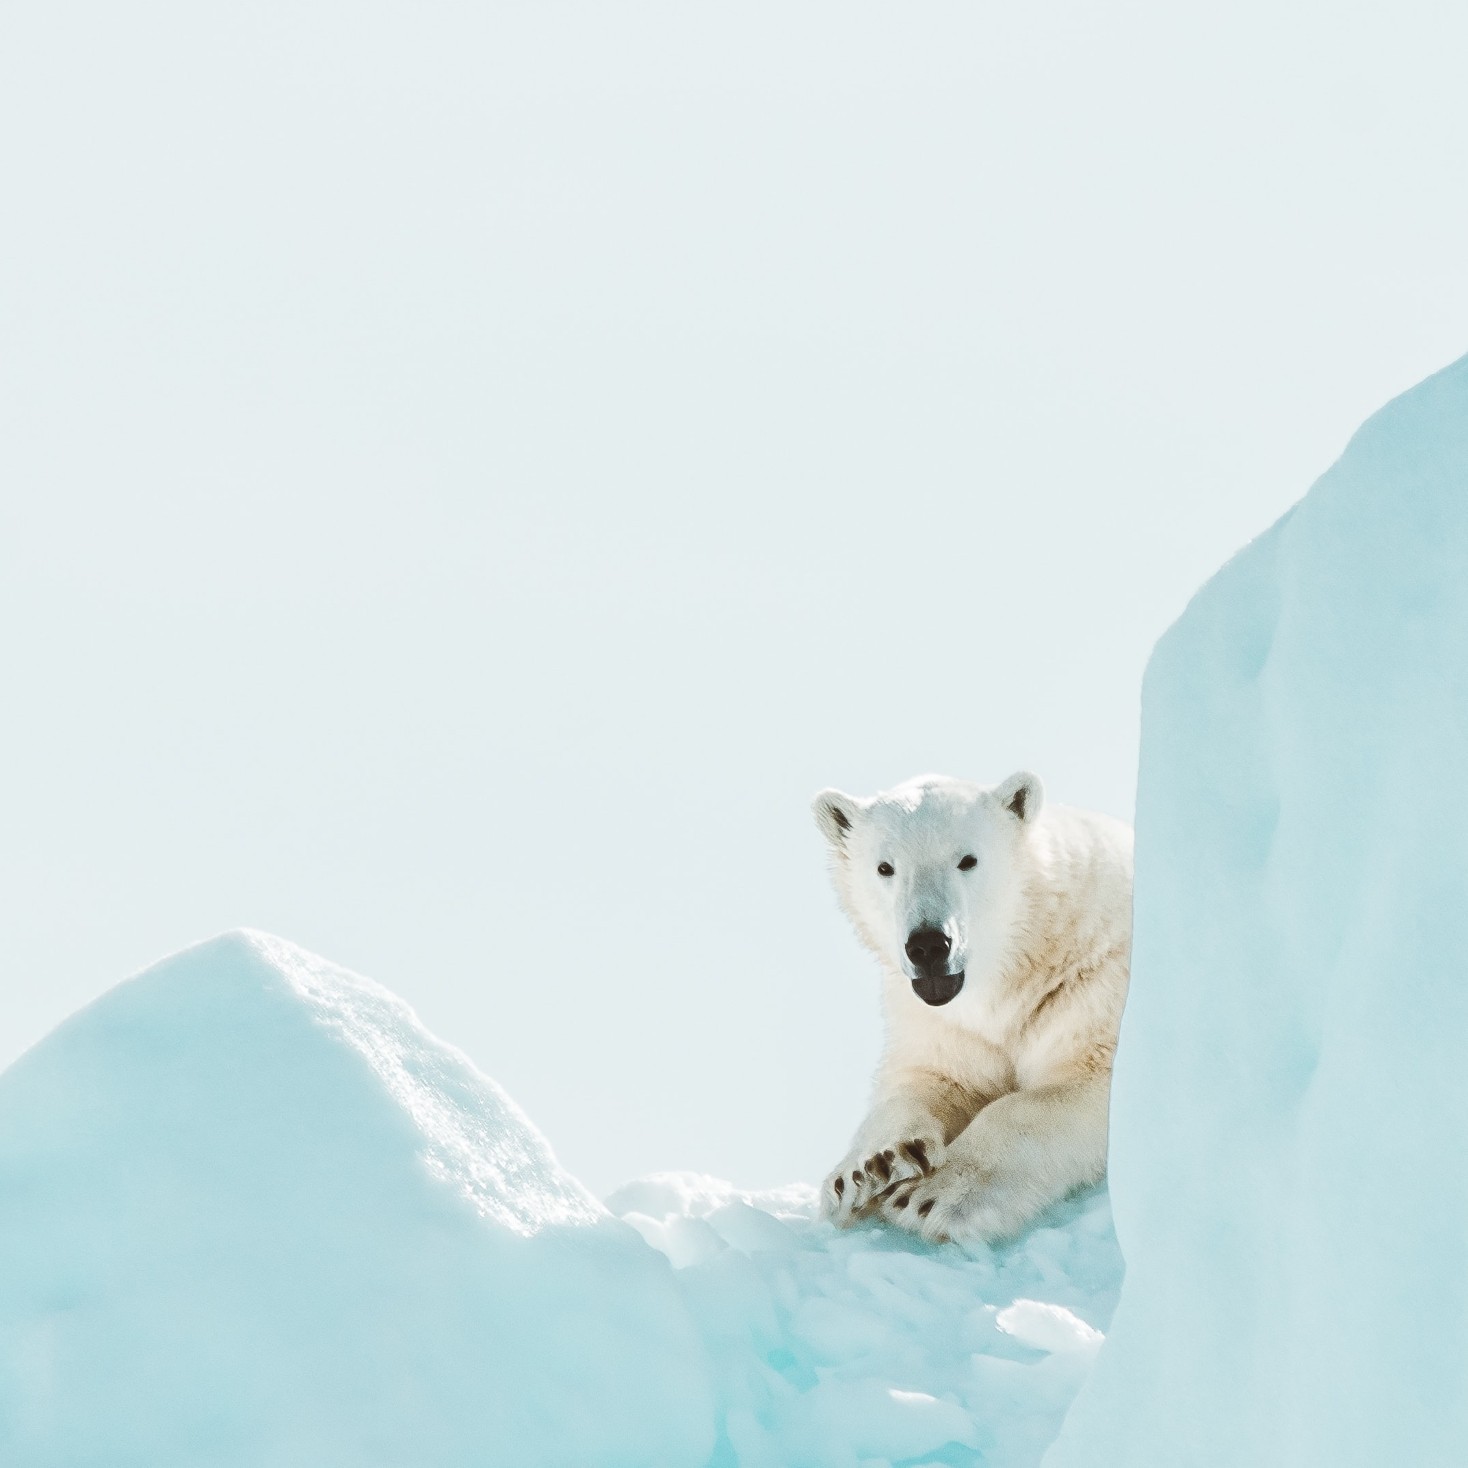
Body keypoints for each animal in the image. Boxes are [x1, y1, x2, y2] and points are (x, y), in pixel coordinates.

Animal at [810, 775, 1127, 1244]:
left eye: (967, 859)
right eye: (885, 867)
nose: (928, 945)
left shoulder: (1093, 987)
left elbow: (1069, 1086)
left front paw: (933, 1196)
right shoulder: (944, 1024)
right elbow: (933, 1077)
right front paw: (870, 1168)